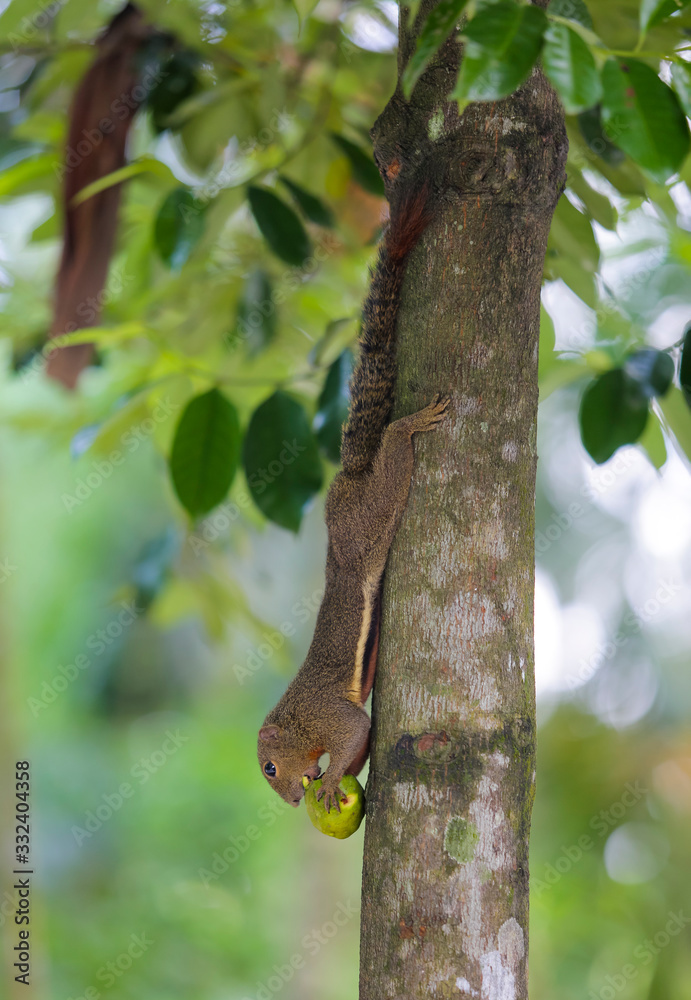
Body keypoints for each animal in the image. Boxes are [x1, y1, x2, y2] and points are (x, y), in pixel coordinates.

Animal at [257, 183, 448, 813]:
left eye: (269, 768)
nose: (291, 802)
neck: (295, 721)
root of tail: (349, 477)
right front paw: (332, 779)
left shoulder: (327, 717)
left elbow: (356, 732)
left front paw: (329, 780)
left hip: (370, 517)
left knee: (391, 460)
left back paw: (408, 426)